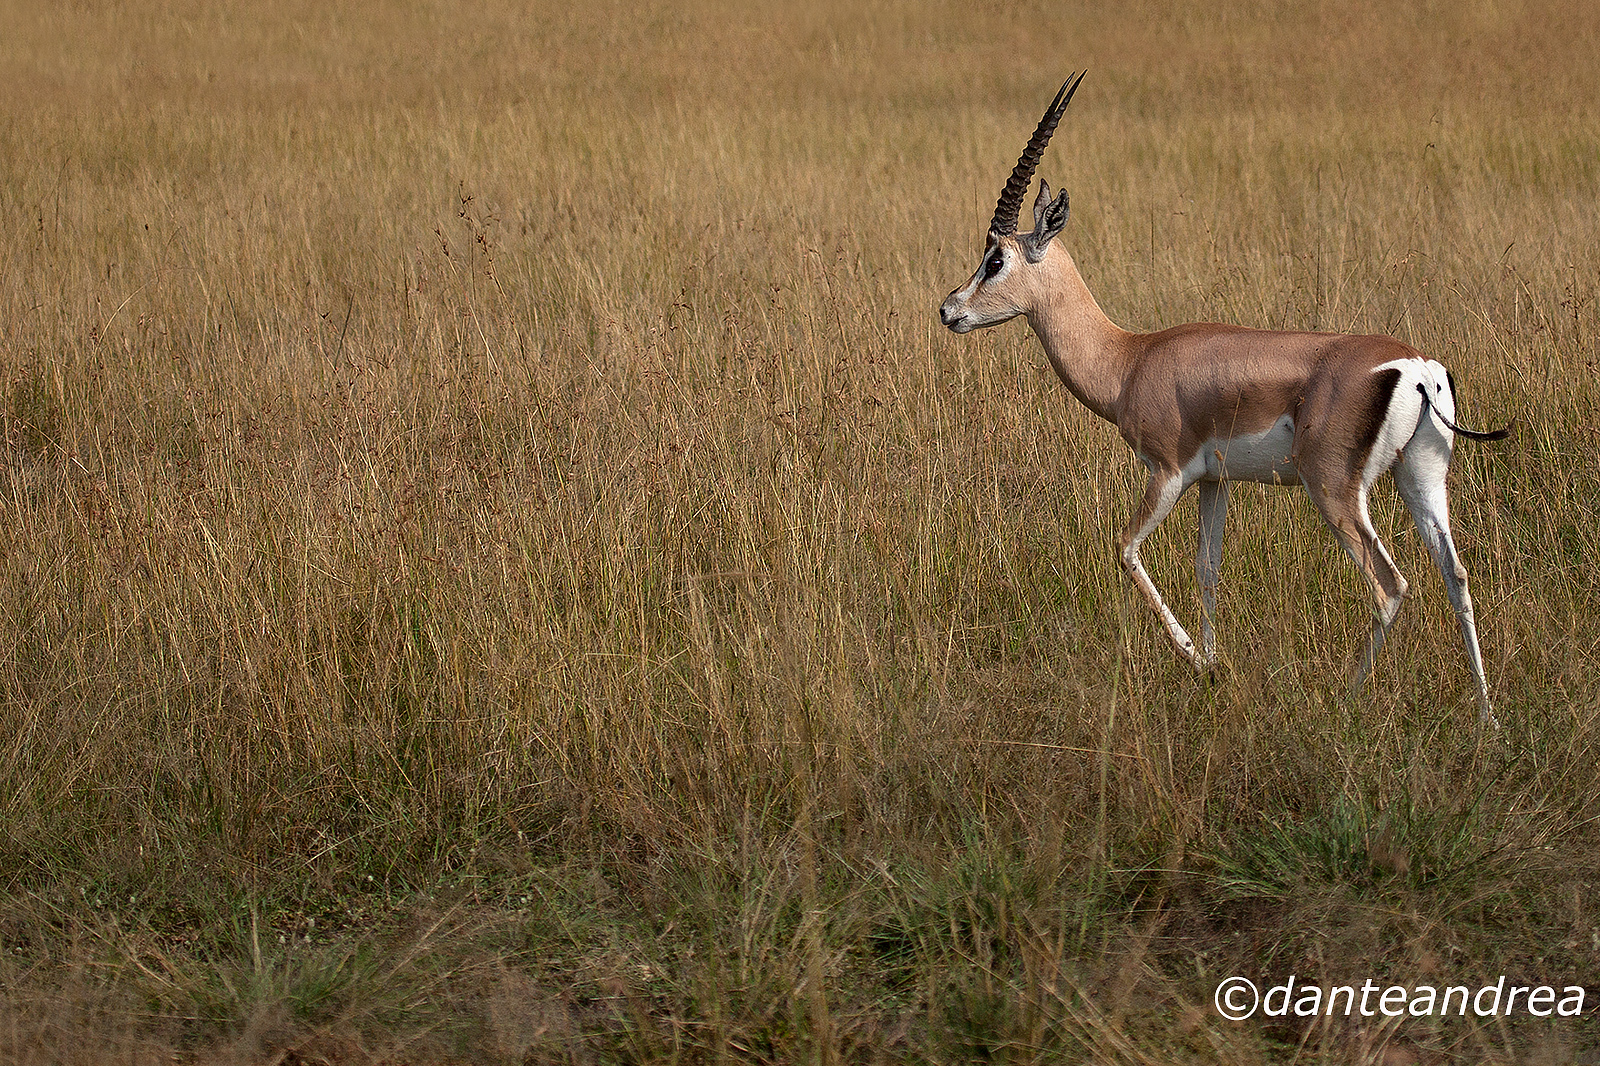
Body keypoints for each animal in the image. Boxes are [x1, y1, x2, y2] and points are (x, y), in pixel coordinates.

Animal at [940, 73, 1510, 723]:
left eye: (995, 258)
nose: (949, 310)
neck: (1130, 359)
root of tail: (1415, 369)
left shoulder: (1168, 473)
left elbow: (1126, 549)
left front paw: (1199, 662)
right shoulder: (1216, 482)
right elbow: (1207, 569)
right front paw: (1215, 667)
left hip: (1334, 487)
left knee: (1391, 587)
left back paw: (1343, 702)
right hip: (1420, 478)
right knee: (1456, 575)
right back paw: (1486, 716)